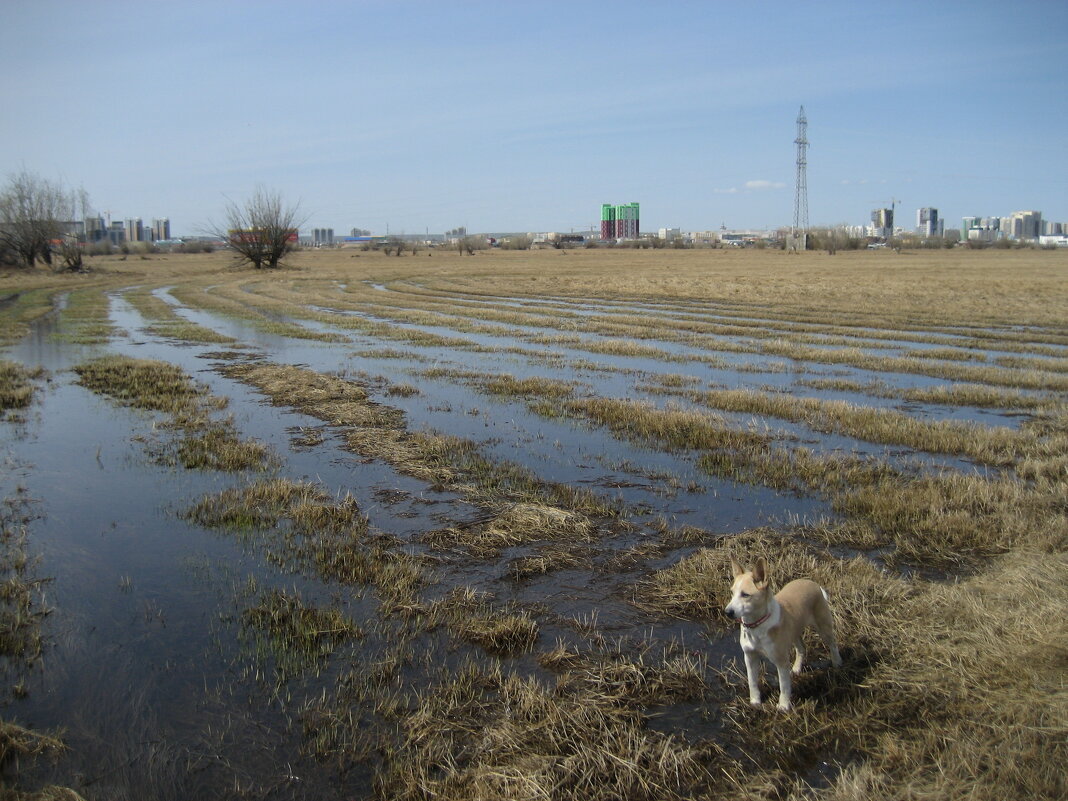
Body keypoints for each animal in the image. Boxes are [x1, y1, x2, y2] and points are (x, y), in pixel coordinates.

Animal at [726, 555, 841, 713]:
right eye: (732, 592)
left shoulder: (781, 661)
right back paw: (797, 668)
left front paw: (783, 706)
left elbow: (784, 685)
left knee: (833, 644)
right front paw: (755, 702)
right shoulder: (750, 657)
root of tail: (813, 583)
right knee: (801, 648)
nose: (727, 612)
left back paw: (837, 663)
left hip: (824, 627)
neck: (758, 625)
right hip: (794, 632)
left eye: (745, 595)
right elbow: (752, 682)